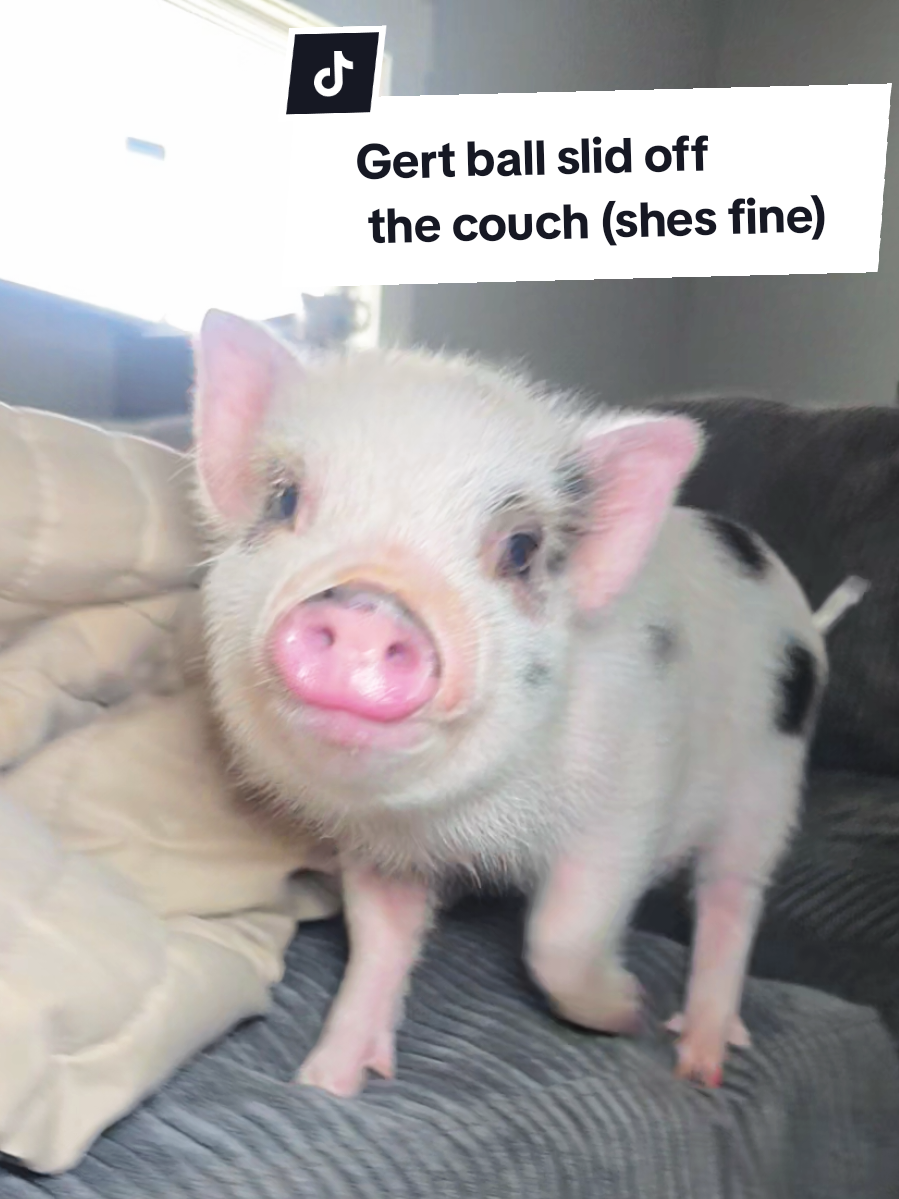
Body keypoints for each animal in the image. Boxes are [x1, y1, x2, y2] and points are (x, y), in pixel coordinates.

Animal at [191, 309, 860, 1099]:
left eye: (519, 548)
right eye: (285, 500)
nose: (365, 607)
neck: (469, 827)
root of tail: (804, 619)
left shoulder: (627, 799)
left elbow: (561, 935)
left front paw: (625, 1011)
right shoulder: (378, 842)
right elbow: (379, 935)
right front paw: (325, 1082)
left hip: (768, 782)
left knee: (733, 896)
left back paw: (700, 1063)